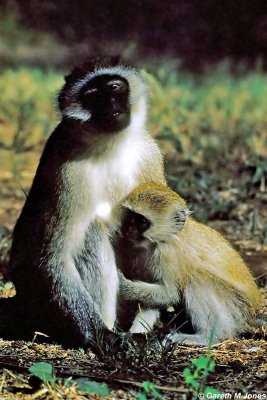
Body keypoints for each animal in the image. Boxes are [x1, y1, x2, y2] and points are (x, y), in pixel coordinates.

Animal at [116, 183, 262, 346]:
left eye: (141, 221)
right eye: (129, 215)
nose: (126, 229)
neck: (168, 238)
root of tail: (251, 315)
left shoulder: (167, 255)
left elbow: (169, 294)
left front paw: (122, 283)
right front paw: (132, 334)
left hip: (236, 310)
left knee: (198, 278)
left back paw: (208, 337)